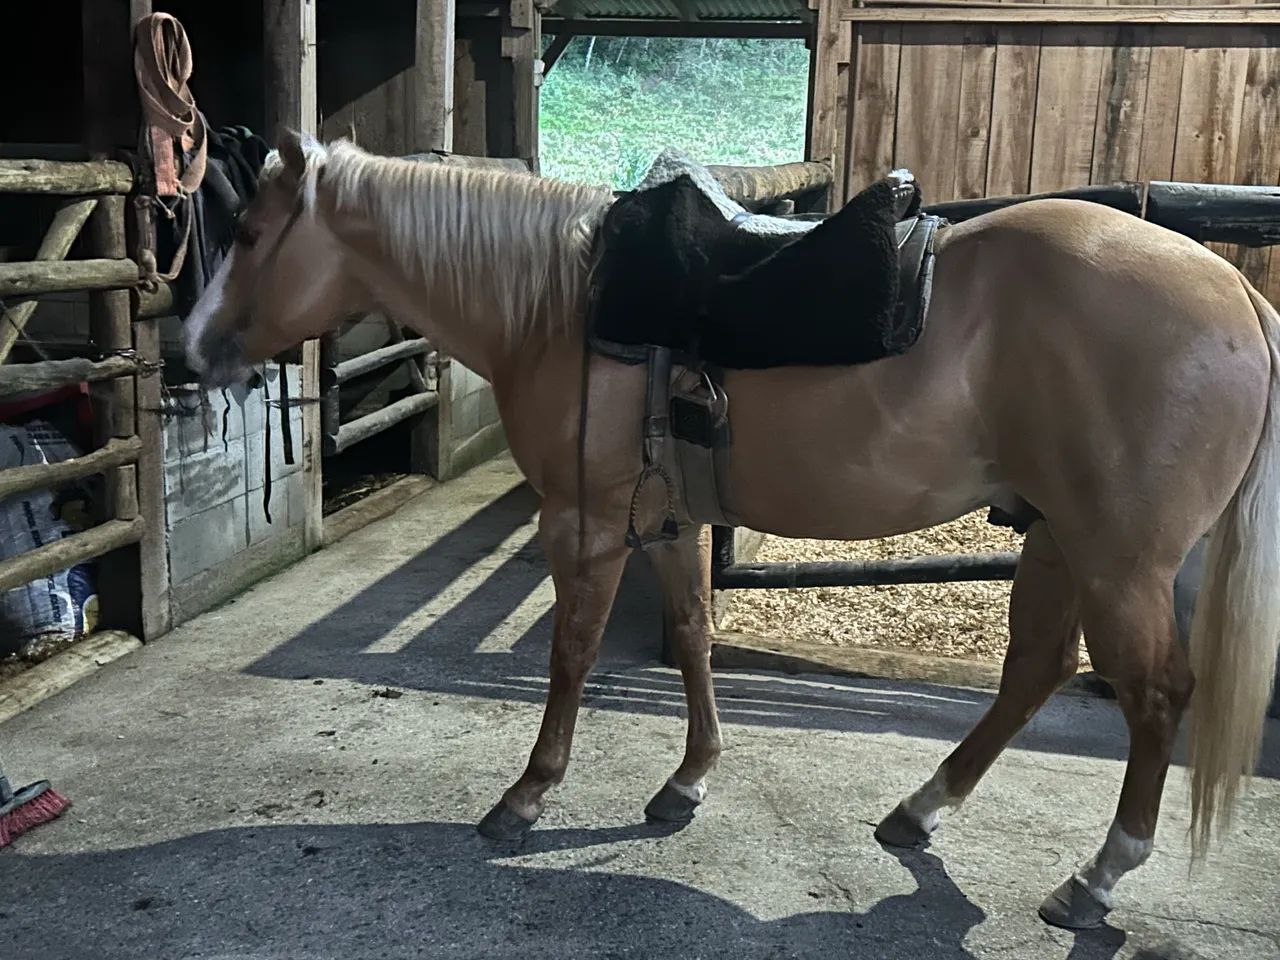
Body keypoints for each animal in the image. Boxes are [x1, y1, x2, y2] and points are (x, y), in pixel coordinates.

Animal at [184, 132, 1280, 930]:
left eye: (252, 233)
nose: (187, 348)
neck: (561, 303)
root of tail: (1236, 294)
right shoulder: (667, 524)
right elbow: (692, 641)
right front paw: (686, 783)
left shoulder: (583, 525)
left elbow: (571, 657)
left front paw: (528, 796)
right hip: (1056, 537)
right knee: (1034, 673)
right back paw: (918, 811)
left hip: (1118, 559)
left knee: (1152, 695)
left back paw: (1094, 878)